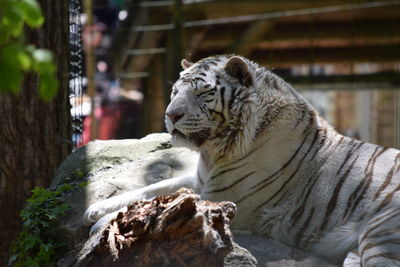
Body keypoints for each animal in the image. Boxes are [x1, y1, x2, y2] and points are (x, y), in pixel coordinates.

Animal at [83, 55, 400, 267]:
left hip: (381, 232)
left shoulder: (222, 196)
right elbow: (154, 189)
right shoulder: (199, 179)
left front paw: (104, 225)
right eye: (175, 92)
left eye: (202, 92)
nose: (171, 115)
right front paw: (94, 210)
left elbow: (157, 205)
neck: (215, 151)